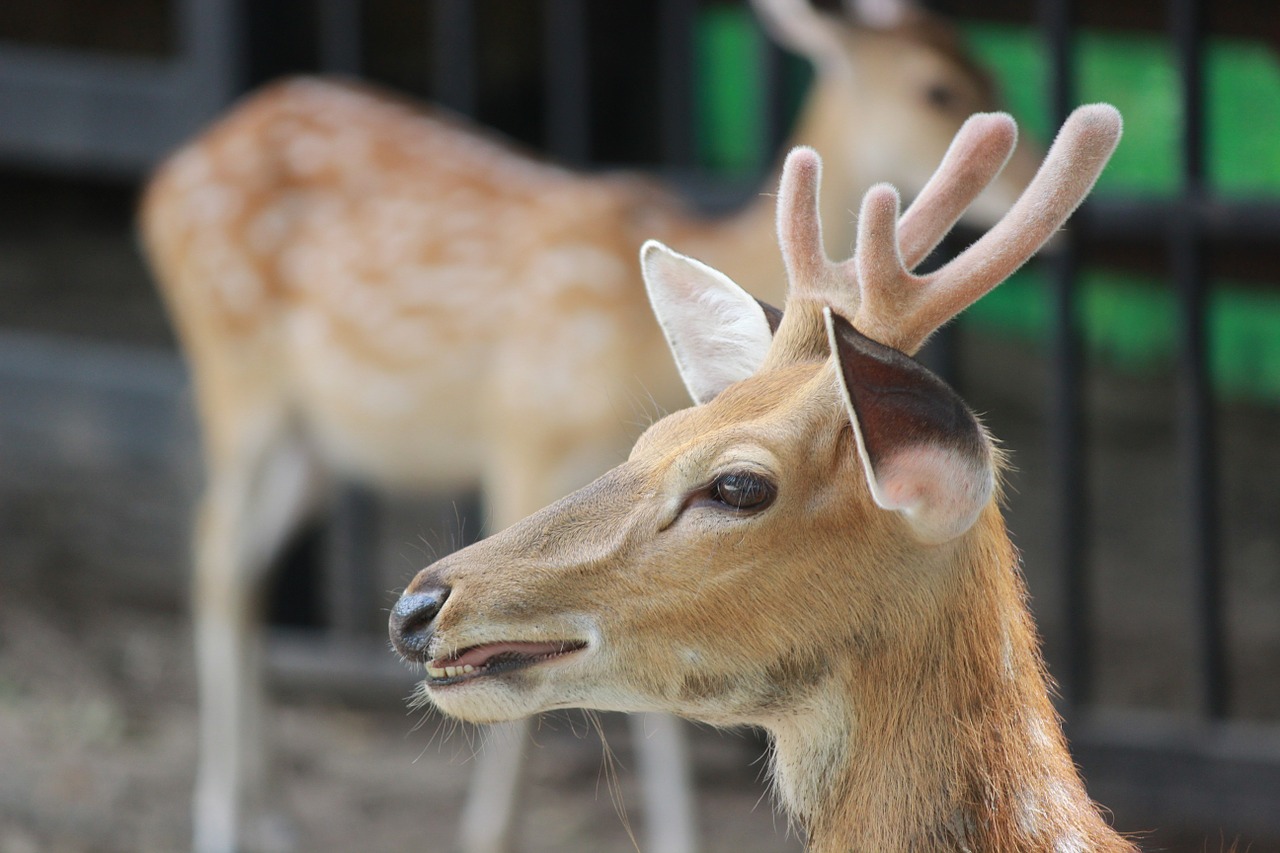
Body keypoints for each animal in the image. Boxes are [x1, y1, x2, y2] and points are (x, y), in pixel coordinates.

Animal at [137, 1, 1039, 850]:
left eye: (989, 67)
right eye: (937, 89)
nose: (1022, 161)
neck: (628, 351)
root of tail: (163, 179)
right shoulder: (525, 434)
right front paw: (486, 834)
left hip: (314, 444)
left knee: (245, 562)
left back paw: (273, 815)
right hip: (236, 379)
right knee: (215, 551)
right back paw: (222, 818)